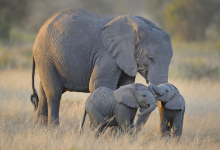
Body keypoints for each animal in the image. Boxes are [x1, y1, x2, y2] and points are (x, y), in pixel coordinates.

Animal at [31, 7, 173, 125]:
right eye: (150, 58)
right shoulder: (107, 54)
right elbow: (99, 84)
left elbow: (124, 86)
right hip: (46, 55)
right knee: (54, 92)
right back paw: (54, 130)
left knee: (43, 89)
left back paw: (40, 129)